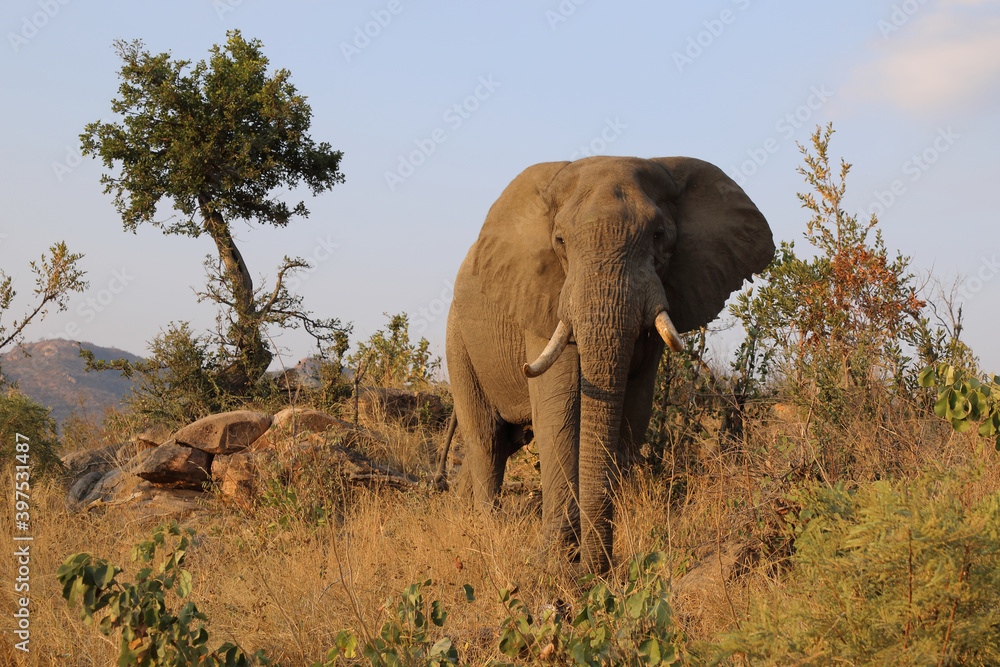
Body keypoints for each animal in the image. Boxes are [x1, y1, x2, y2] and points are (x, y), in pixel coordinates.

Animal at [446, 155, 774, 572]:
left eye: (659, 236)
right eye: (560, 241)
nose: (596, 567)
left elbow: (633, 410)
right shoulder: (545, 299)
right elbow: (560, 411)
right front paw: (557, 562)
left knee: (503, 443)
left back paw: (462, 520)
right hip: (458, 341)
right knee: (487, 440)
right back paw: (488, 532)